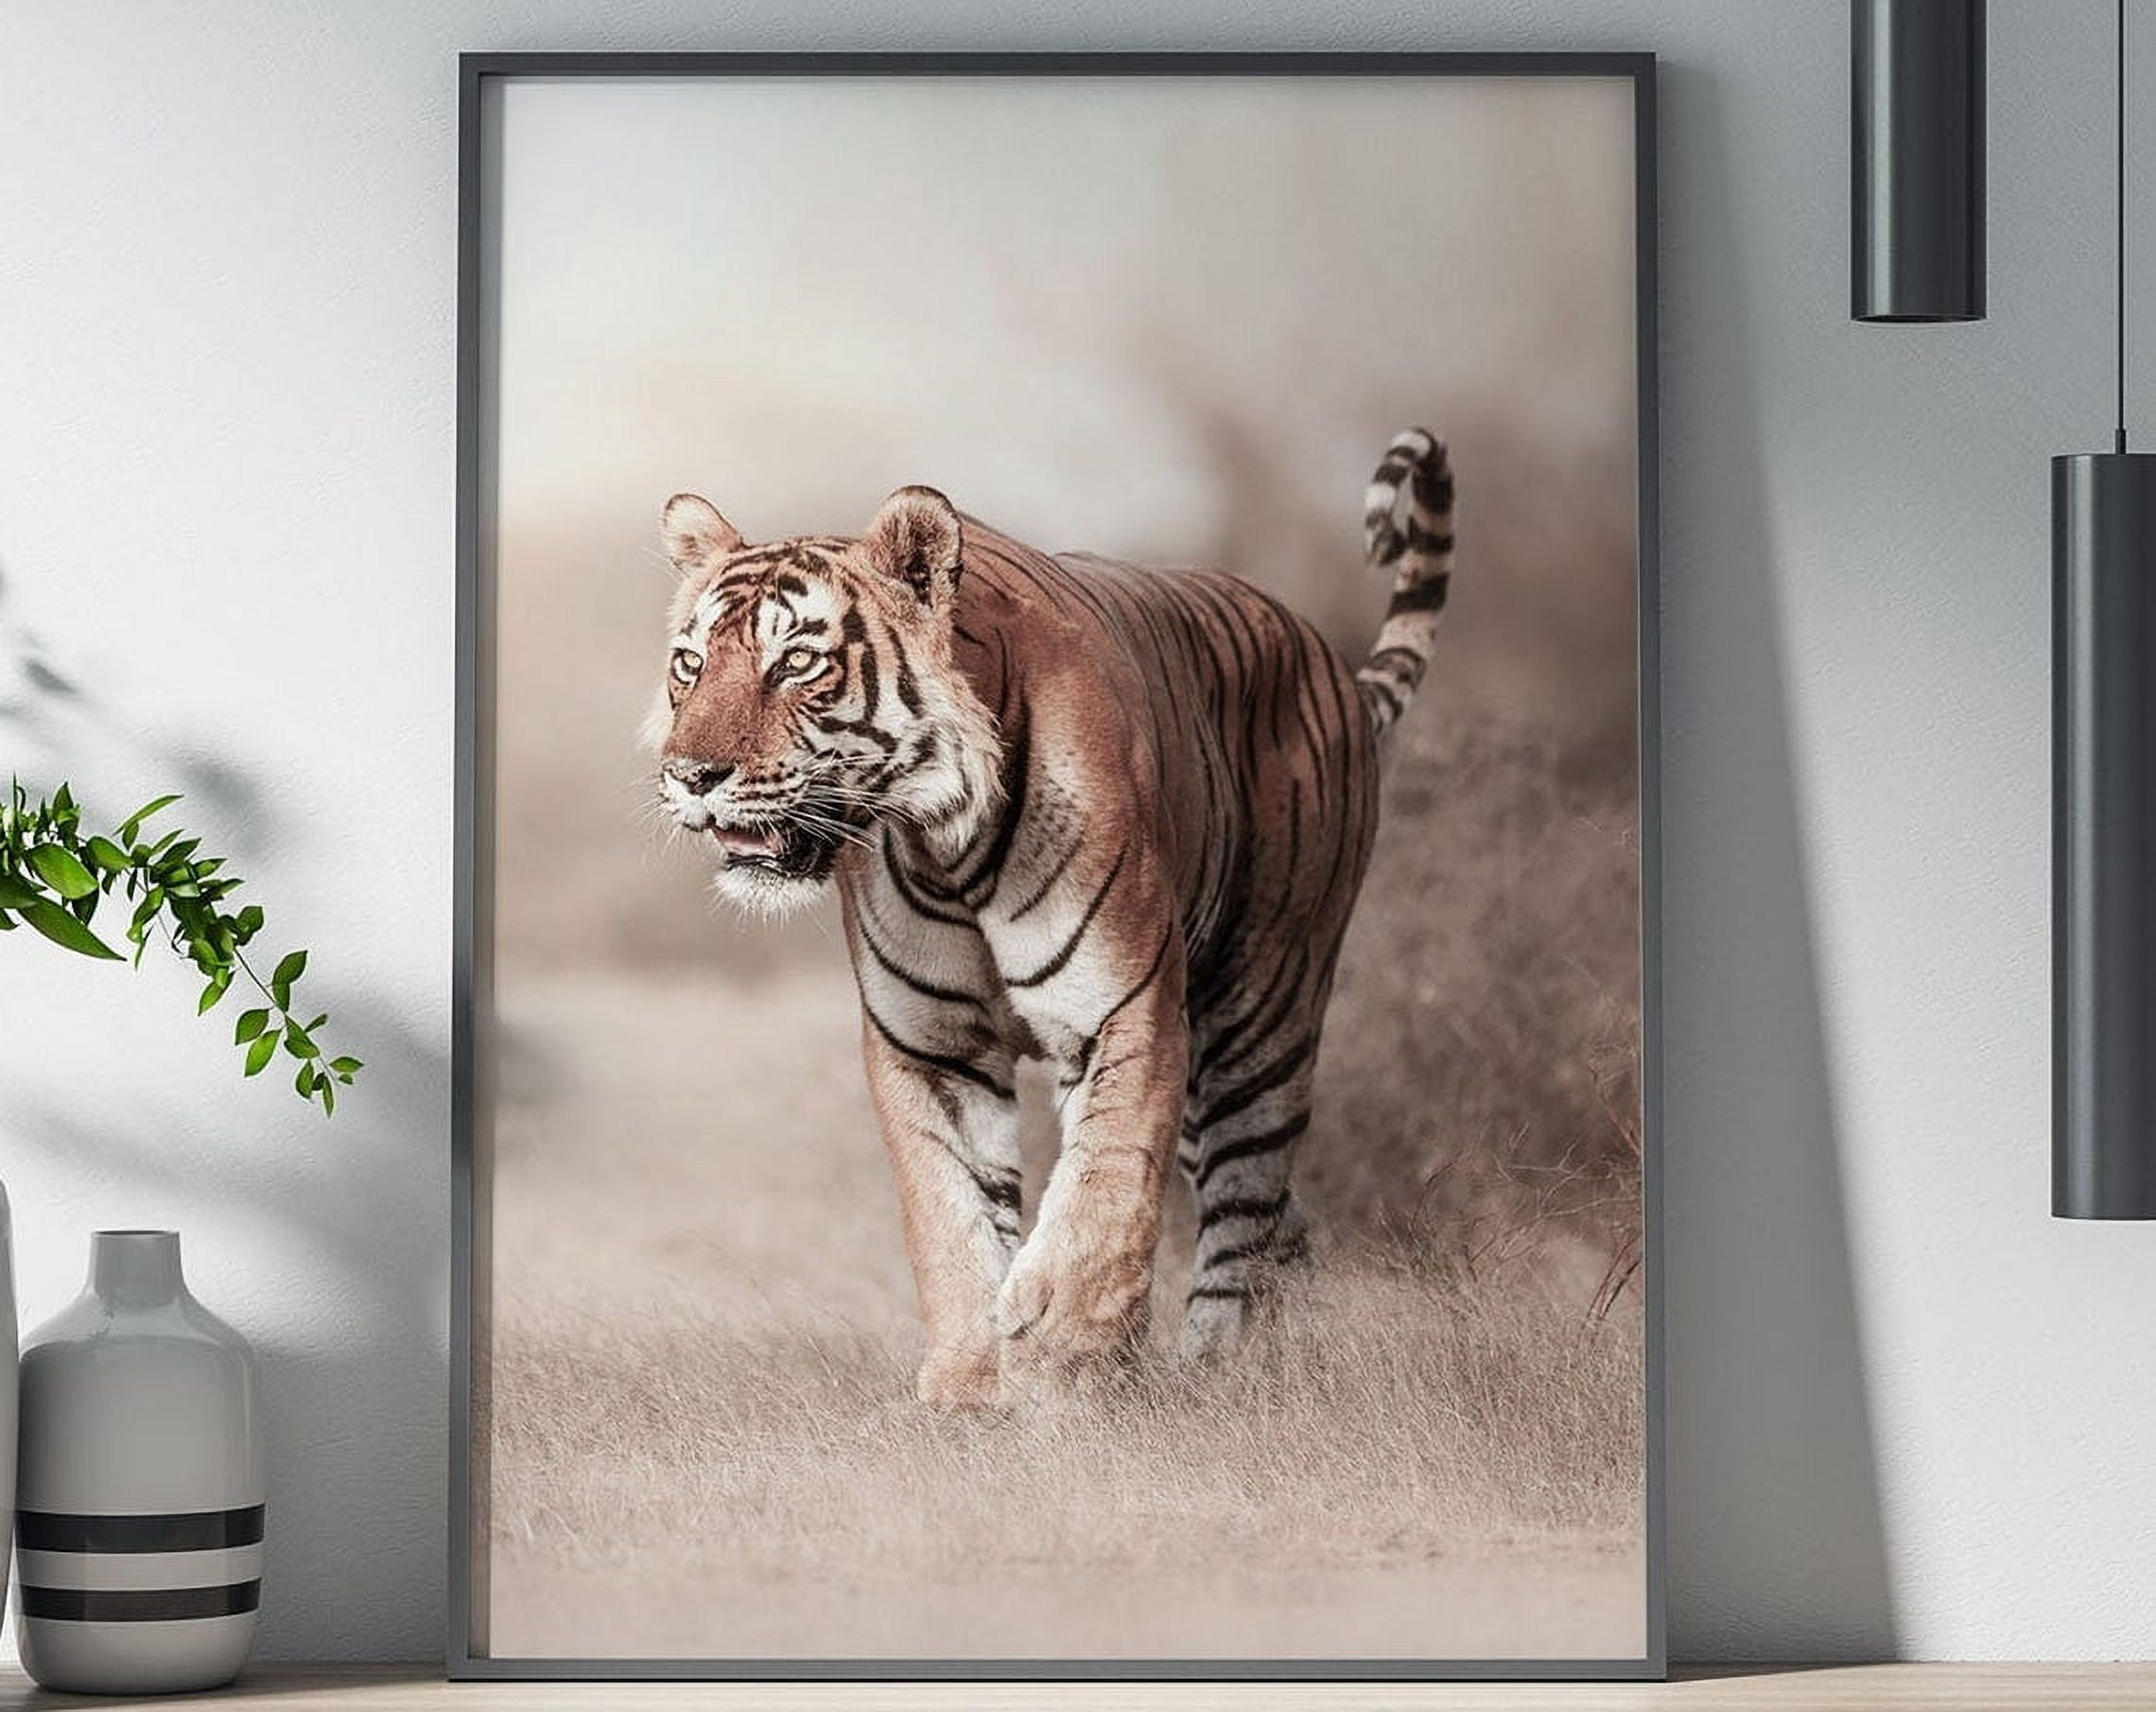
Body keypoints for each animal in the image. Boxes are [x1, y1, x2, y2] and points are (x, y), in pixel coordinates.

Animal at [653, 430, 1453, 1410]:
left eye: (796, 663)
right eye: (691, 664)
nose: (690, 775)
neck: (943, 842)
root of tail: (1326, 657)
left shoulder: (1124, 1010)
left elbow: (1104, 1188)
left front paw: (1063, 1362)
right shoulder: (931, 1045)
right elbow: (950, 1214)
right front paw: (968, 1385)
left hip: (1262, 1014)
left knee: (1245, 1203)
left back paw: (1218, 1368)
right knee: (1278, 1225)